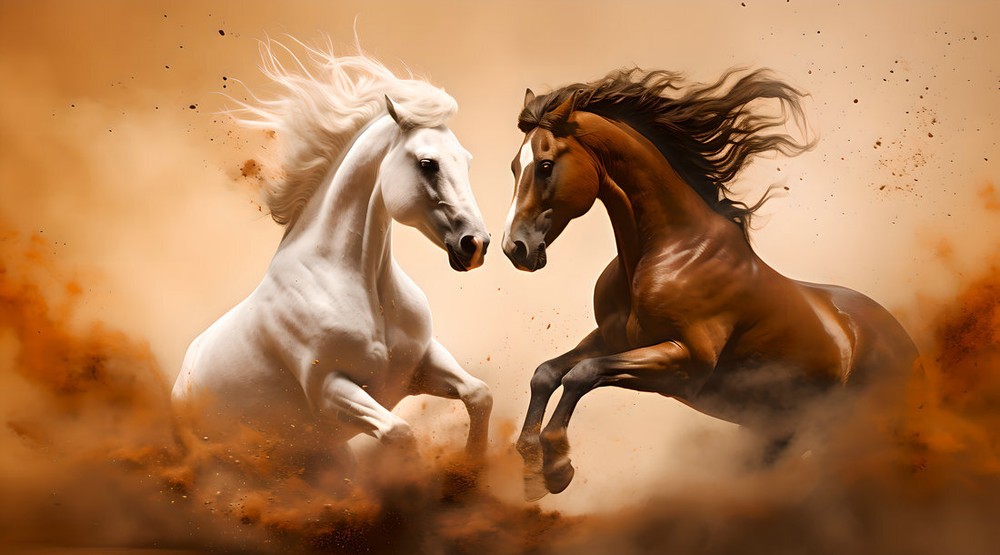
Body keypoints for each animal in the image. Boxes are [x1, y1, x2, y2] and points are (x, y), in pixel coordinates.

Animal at [171, 42, 493, 485]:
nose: (476, 244)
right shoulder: (329, 391)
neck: (364, 287)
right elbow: (400, 433)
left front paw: (471, 470)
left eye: (467, 160)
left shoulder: (422, 362)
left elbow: (480, 395)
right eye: (428, 163)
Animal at [502, 68, 921, 499]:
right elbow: (547, 372)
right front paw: (532, 466)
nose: (514, 248)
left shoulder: (685, 361)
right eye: (515, 166)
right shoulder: (611, 339)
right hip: (779, 432)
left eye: (546, 165)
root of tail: (910, 348)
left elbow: (582, 374)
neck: (666, 252)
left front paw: (557, 465)